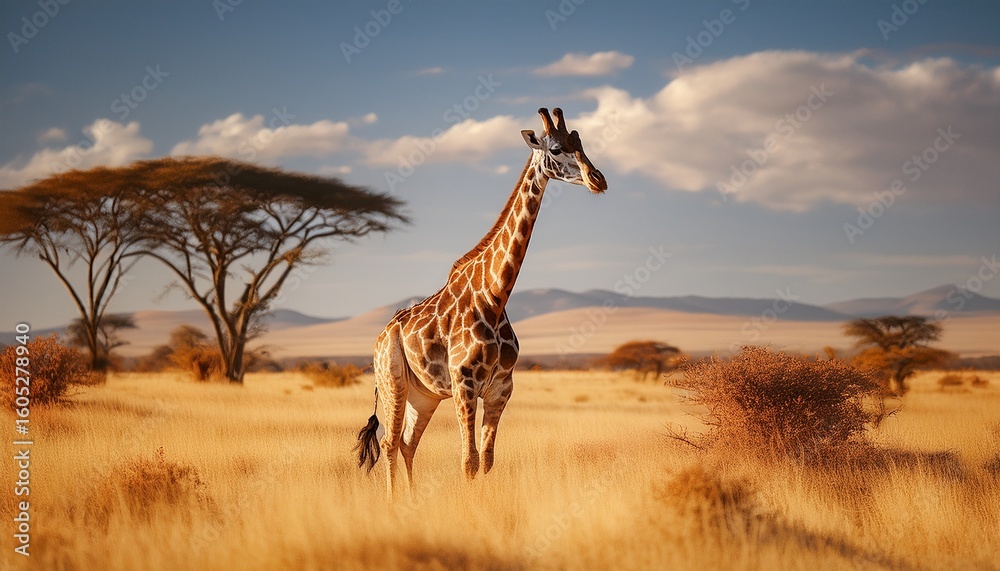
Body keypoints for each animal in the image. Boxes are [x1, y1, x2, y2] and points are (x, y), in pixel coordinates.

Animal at [355, 107, 607, 496]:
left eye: (580, 143)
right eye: (555, 148)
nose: (598, 179)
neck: (495, 296)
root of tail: (381, 336)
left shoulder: (501, 388)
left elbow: (487, 461)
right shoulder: (465, 384)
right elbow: (469, 461)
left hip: (424, 395)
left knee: (408, 443)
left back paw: (411, 499)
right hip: (392, 381)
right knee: (389, 442)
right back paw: (393, 501)